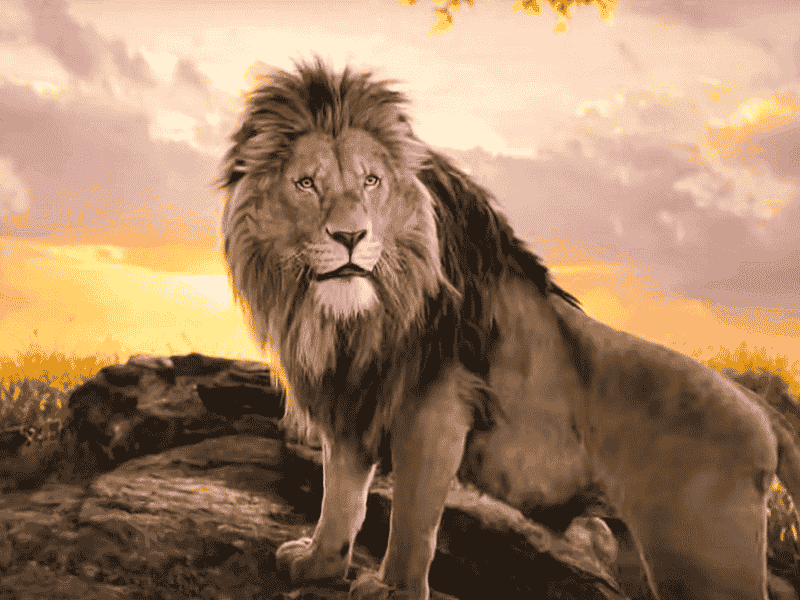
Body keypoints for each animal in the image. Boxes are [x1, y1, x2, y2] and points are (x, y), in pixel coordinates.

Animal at [220, 58, 800, 600]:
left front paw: (392, 588)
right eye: (305, 183)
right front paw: (319, 563)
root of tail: (763, 411)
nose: (349, 236)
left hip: (702, 560)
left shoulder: (435, 408)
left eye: (371, 181)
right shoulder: (352, 399)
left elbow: (412, 517)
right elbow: (340, 494)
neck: (358, 317)